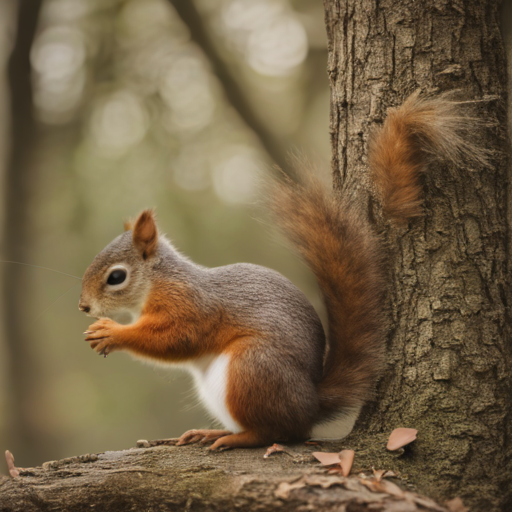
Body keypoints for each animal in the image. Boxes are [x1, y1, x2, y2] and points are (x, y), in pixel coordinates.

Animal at [78, 91, 482, 448]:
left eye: (116, 277)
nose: (83, 307)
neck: (158, 281)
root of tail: (309, 404)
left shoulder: (191, 305)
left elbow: (176, 337)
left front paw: (111, 332)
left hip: (252, 368)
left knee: (279, 432)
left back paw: (237, 439)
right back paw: (213, 432)